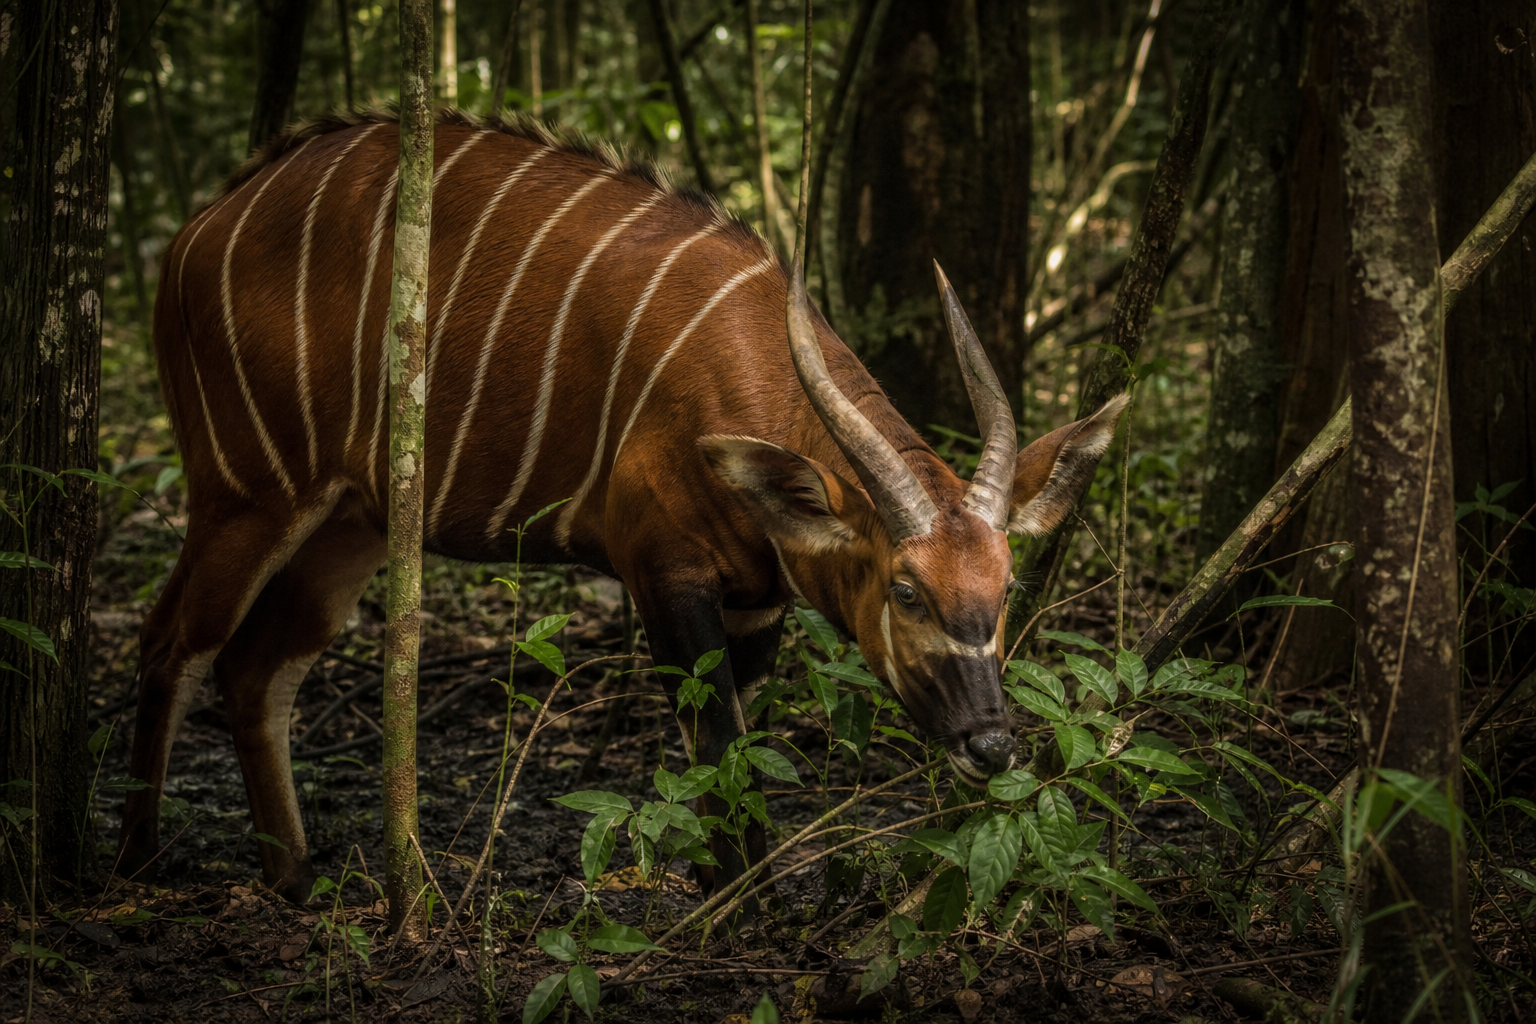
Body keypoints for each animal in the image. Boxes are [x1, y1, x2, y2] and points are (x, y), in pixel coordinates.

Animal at [119, 110, 1126, 902]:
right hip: (247, 490)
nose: (990, 745)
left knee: (257, 667)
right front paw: (734, 909)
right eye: (906, 590)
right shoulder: (661, 568)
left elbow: (737, 743)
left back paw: (292, 876)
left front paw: (727, 888)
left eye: (1005, 586)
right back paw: (136, 868)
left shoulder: (755, 600)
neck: (747, 370)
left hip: (351, 521)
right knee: (171, 640)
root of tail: (195, 230)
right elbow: (715, 740)